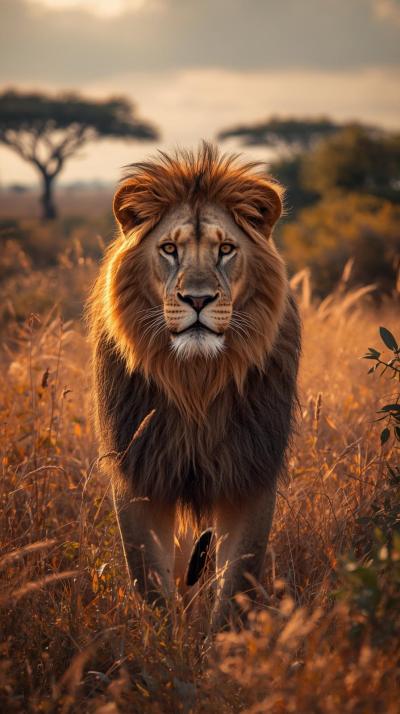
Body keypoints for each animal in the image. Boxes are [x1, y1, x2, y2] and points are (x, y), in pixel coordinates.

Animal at [88, 142, 301, 632]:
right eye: (169, 249)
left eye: (225, 249)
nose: (198, 299)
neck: (195, 382)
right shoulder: (139, 472)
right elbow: (149, 579)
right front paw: (166, 643)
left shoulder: (250, 471)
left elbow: (237, 579)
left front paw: (223, 645)